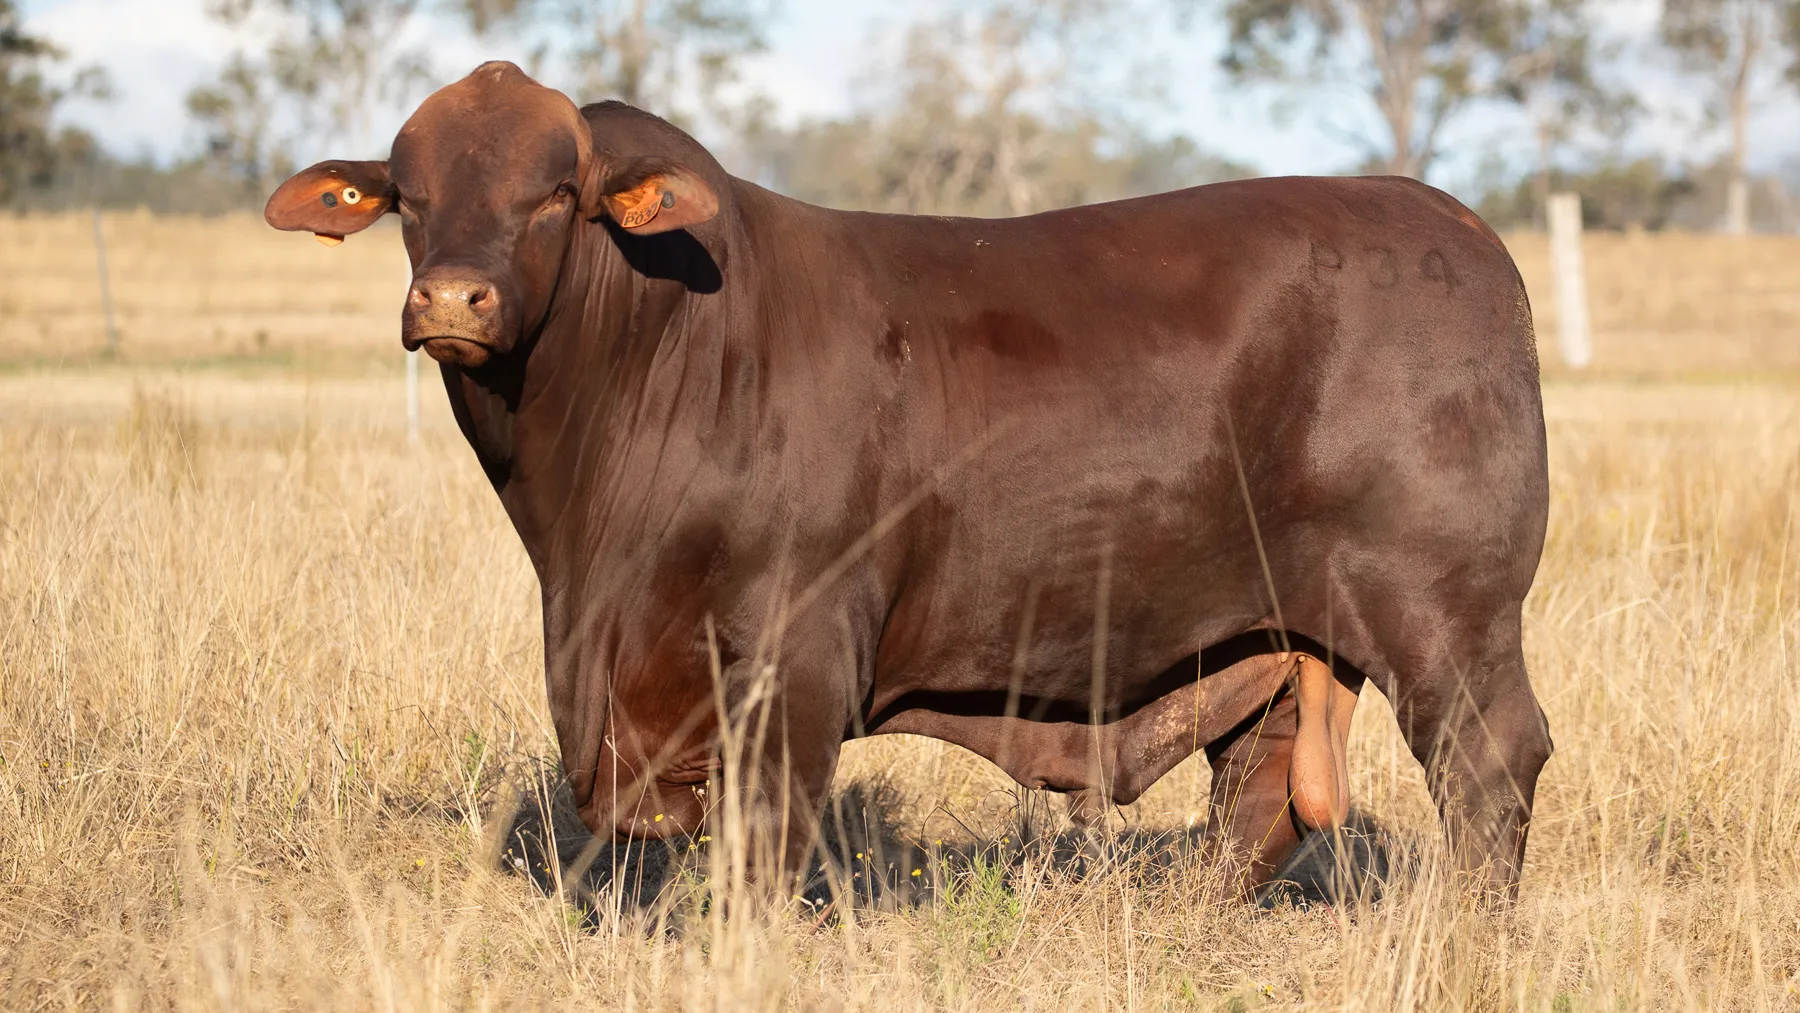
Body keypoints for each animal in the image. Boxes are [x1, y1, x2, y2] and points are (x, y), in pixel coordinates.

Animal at [266, 61, 1553, 900]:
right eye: (409, 199)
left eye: (552, 197)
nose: (451, 298)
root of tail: (1452, 222)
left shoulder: (794, 655)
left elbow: (763, 848)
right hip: (1273, 637)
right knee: (1257, 794)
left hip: (1447, 614)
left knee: (1491, 767)